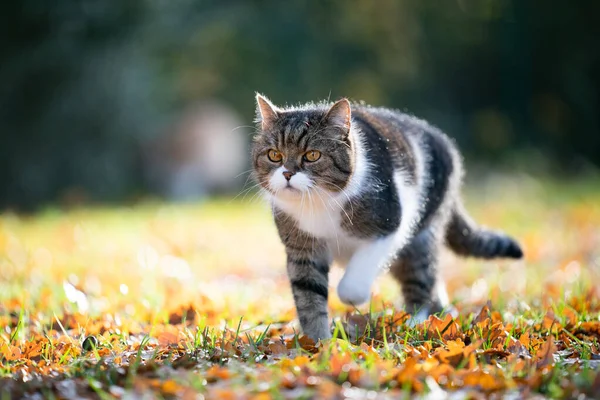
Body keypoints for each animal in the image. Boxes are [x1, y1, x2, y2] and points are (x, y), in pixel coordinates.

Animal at [251, 94, 524, 340]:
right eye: (274, 155)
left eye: (312, 155)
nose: (287, 173)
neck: (318, 203)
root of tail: (446, 144)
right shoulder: (303, 249)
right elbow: (308, 294)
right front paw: (318, 344)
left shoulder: (390, 225)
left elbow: (353, 283)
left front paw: (351, 299)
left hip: (419, 237)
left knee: (421, 278)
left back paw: (417, 323)